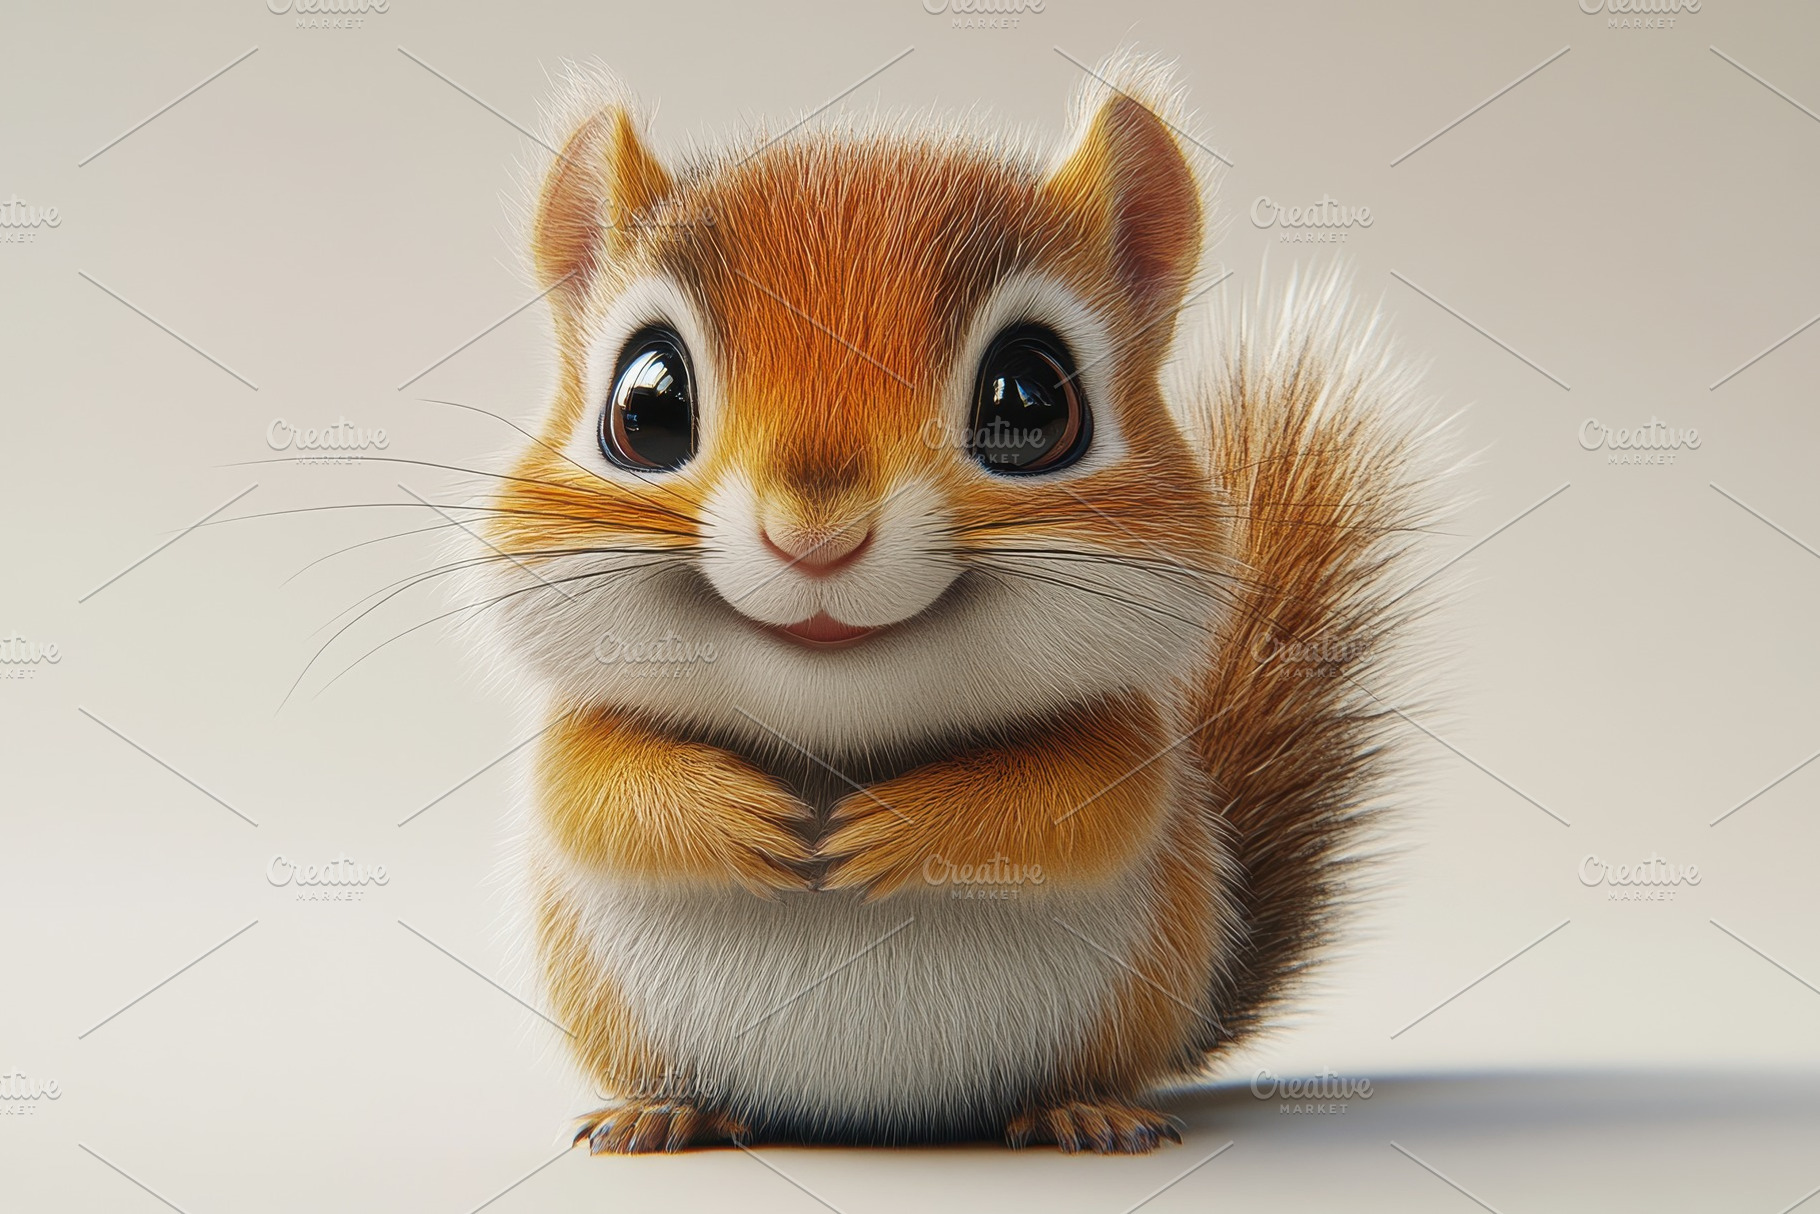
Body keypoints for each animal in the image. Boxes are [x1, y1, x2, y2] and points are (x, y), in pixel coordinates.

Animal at [468, 53, 1444, 1155]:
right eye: (647, 404)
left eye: (1030, 399)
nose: (815, 534)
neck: (835, 737)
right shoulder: (574, 735)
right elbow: (591, 788)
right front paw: (741, 816)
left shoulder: (1129, 742)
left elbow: (1079, 803)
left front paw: (895, 828)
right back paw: (665, 1106)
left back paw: (1081, 1108)